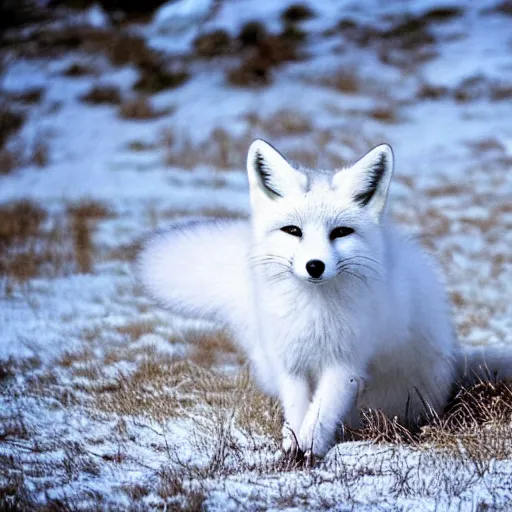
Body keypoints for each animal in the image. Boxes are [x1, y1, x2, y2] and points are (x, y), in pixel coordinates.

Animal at [139, 140, 512, 460]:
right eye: (293, 231)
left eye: (341, 232)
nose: (314, 266)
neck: (313, 314)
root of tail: (454, 360)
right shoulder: (292, 363)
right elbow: (298, 412)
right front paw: (292, 449)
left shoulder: (344, 365)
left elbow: (320, 415)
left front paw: (309, 452)